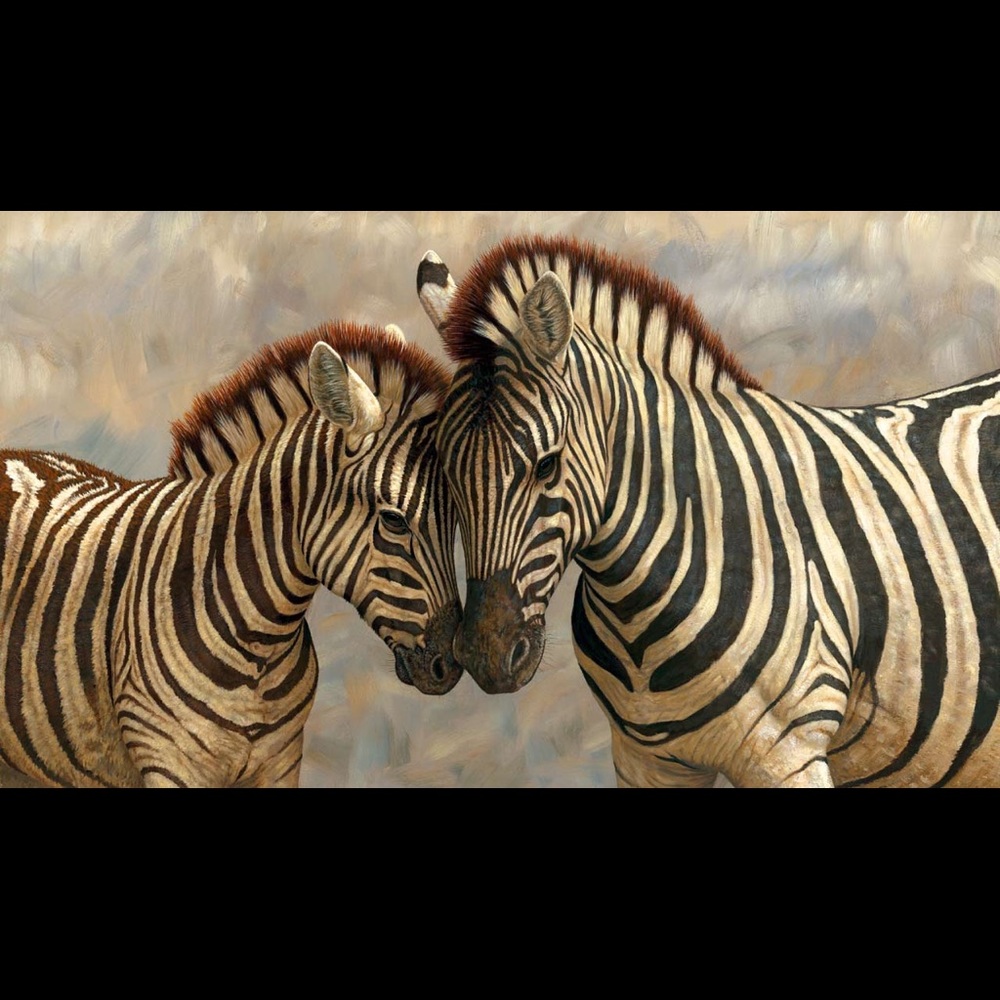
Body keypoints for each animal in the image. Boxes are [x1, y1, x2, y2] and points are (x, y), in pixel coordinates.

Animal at [0, 321, 462, 787]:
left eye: (458, 520)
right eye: (394, 520)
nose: (451, 666)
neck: (261, 646)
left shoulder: (281, 763)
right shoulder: (170, 763)